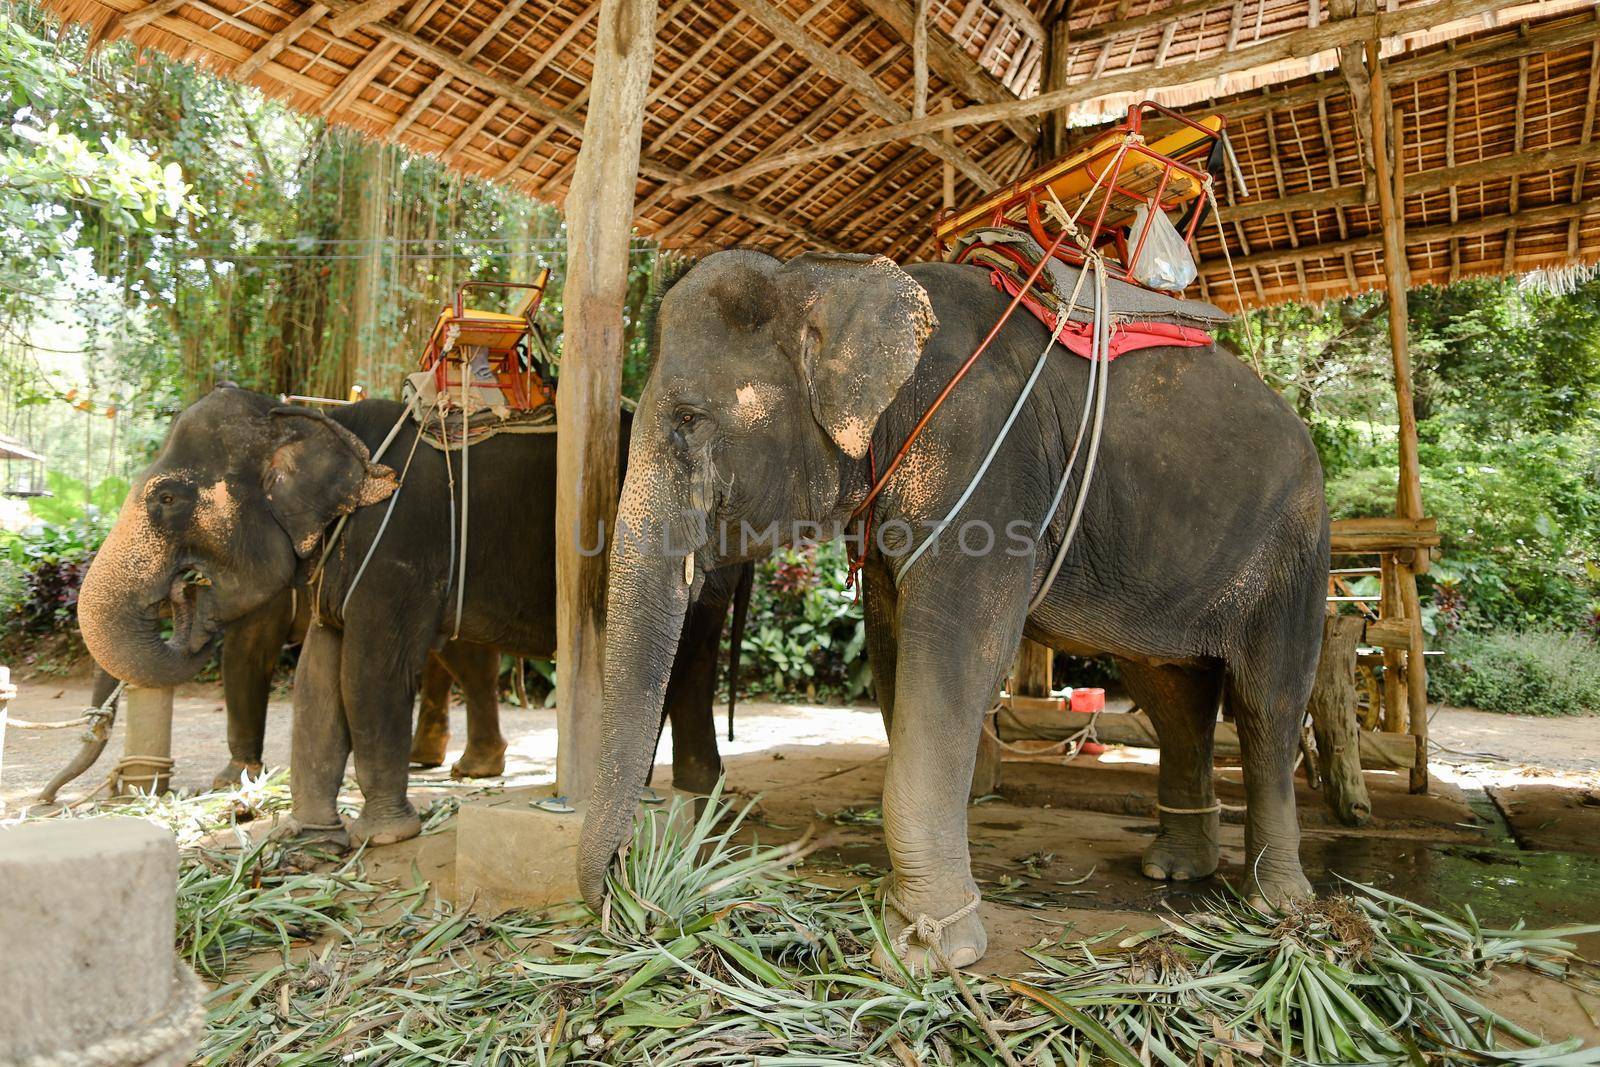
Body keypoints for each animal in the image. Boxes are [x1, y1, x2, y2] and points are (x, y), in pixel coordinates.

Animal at [576, 254, 1324, 972]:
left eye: (689, 421)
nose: (629, 898)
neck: (828, 274)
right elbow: (891, 656)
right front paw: (901, 915)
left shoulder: (984, 471)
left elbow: (956, 653)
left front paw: (924, 952)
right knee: (1171, 693)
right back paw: (1174, 869)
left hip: (1294, 550)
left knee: (1268, 704)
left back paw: (1275, 904)